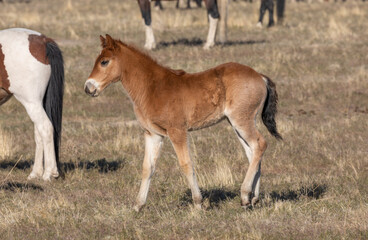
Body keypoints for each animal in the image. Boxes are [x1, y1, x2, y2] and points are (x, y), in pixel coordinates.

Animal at [0, 28, 64, 181]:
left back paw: (49, 173)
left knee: (45, 128)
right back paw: (36, 172)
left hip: (31, 102)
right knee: (39, 133)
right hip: (38, 103)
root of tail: (43, 40)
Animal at [85, 34, 284, 211]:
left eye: (104, 62)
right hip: (237, 123)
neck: (152, 87)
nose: (88, 88)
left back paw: (244, 195)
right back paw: (252, 198)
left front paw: (198, 204)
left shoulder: (177, 131)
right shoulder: (153, 134)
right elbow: (147, 167)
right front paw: (138, 205)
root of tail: (259, 76)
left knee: (260, 144)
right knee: (252, 152)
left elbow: (186, 164)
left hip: (241, 120)